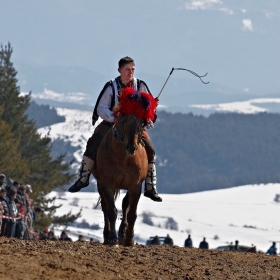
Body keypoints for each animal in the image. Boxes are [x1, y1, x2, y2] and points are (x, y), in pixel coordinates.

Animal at [93, 87, 156, 245]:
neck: (123, 158)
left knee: (124, 204)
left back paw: (122, 232)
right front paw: (112, 238)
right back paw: (107, 235)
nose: (131, 147)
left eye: (141, 122)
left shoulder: (135, 186)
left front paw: (129, 239)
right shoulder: (107, 184)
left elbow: (131, 212)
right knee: (105, 207)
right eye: (124, 120)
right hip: (100, 184)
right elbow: (111, 210)